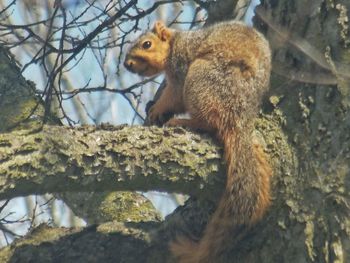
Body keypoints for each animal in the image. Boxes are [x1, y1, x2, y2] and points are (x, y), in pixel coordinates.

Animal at [124, 20, 272, 263]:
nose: (127, 64)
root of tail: (239, 119)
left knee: (209, 121)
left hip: (200, 79)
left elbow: (174, 96)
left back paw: (185, 121)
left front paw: (157, 109)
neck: (175, 43)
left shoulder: (181, 67)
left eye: (147, 44)